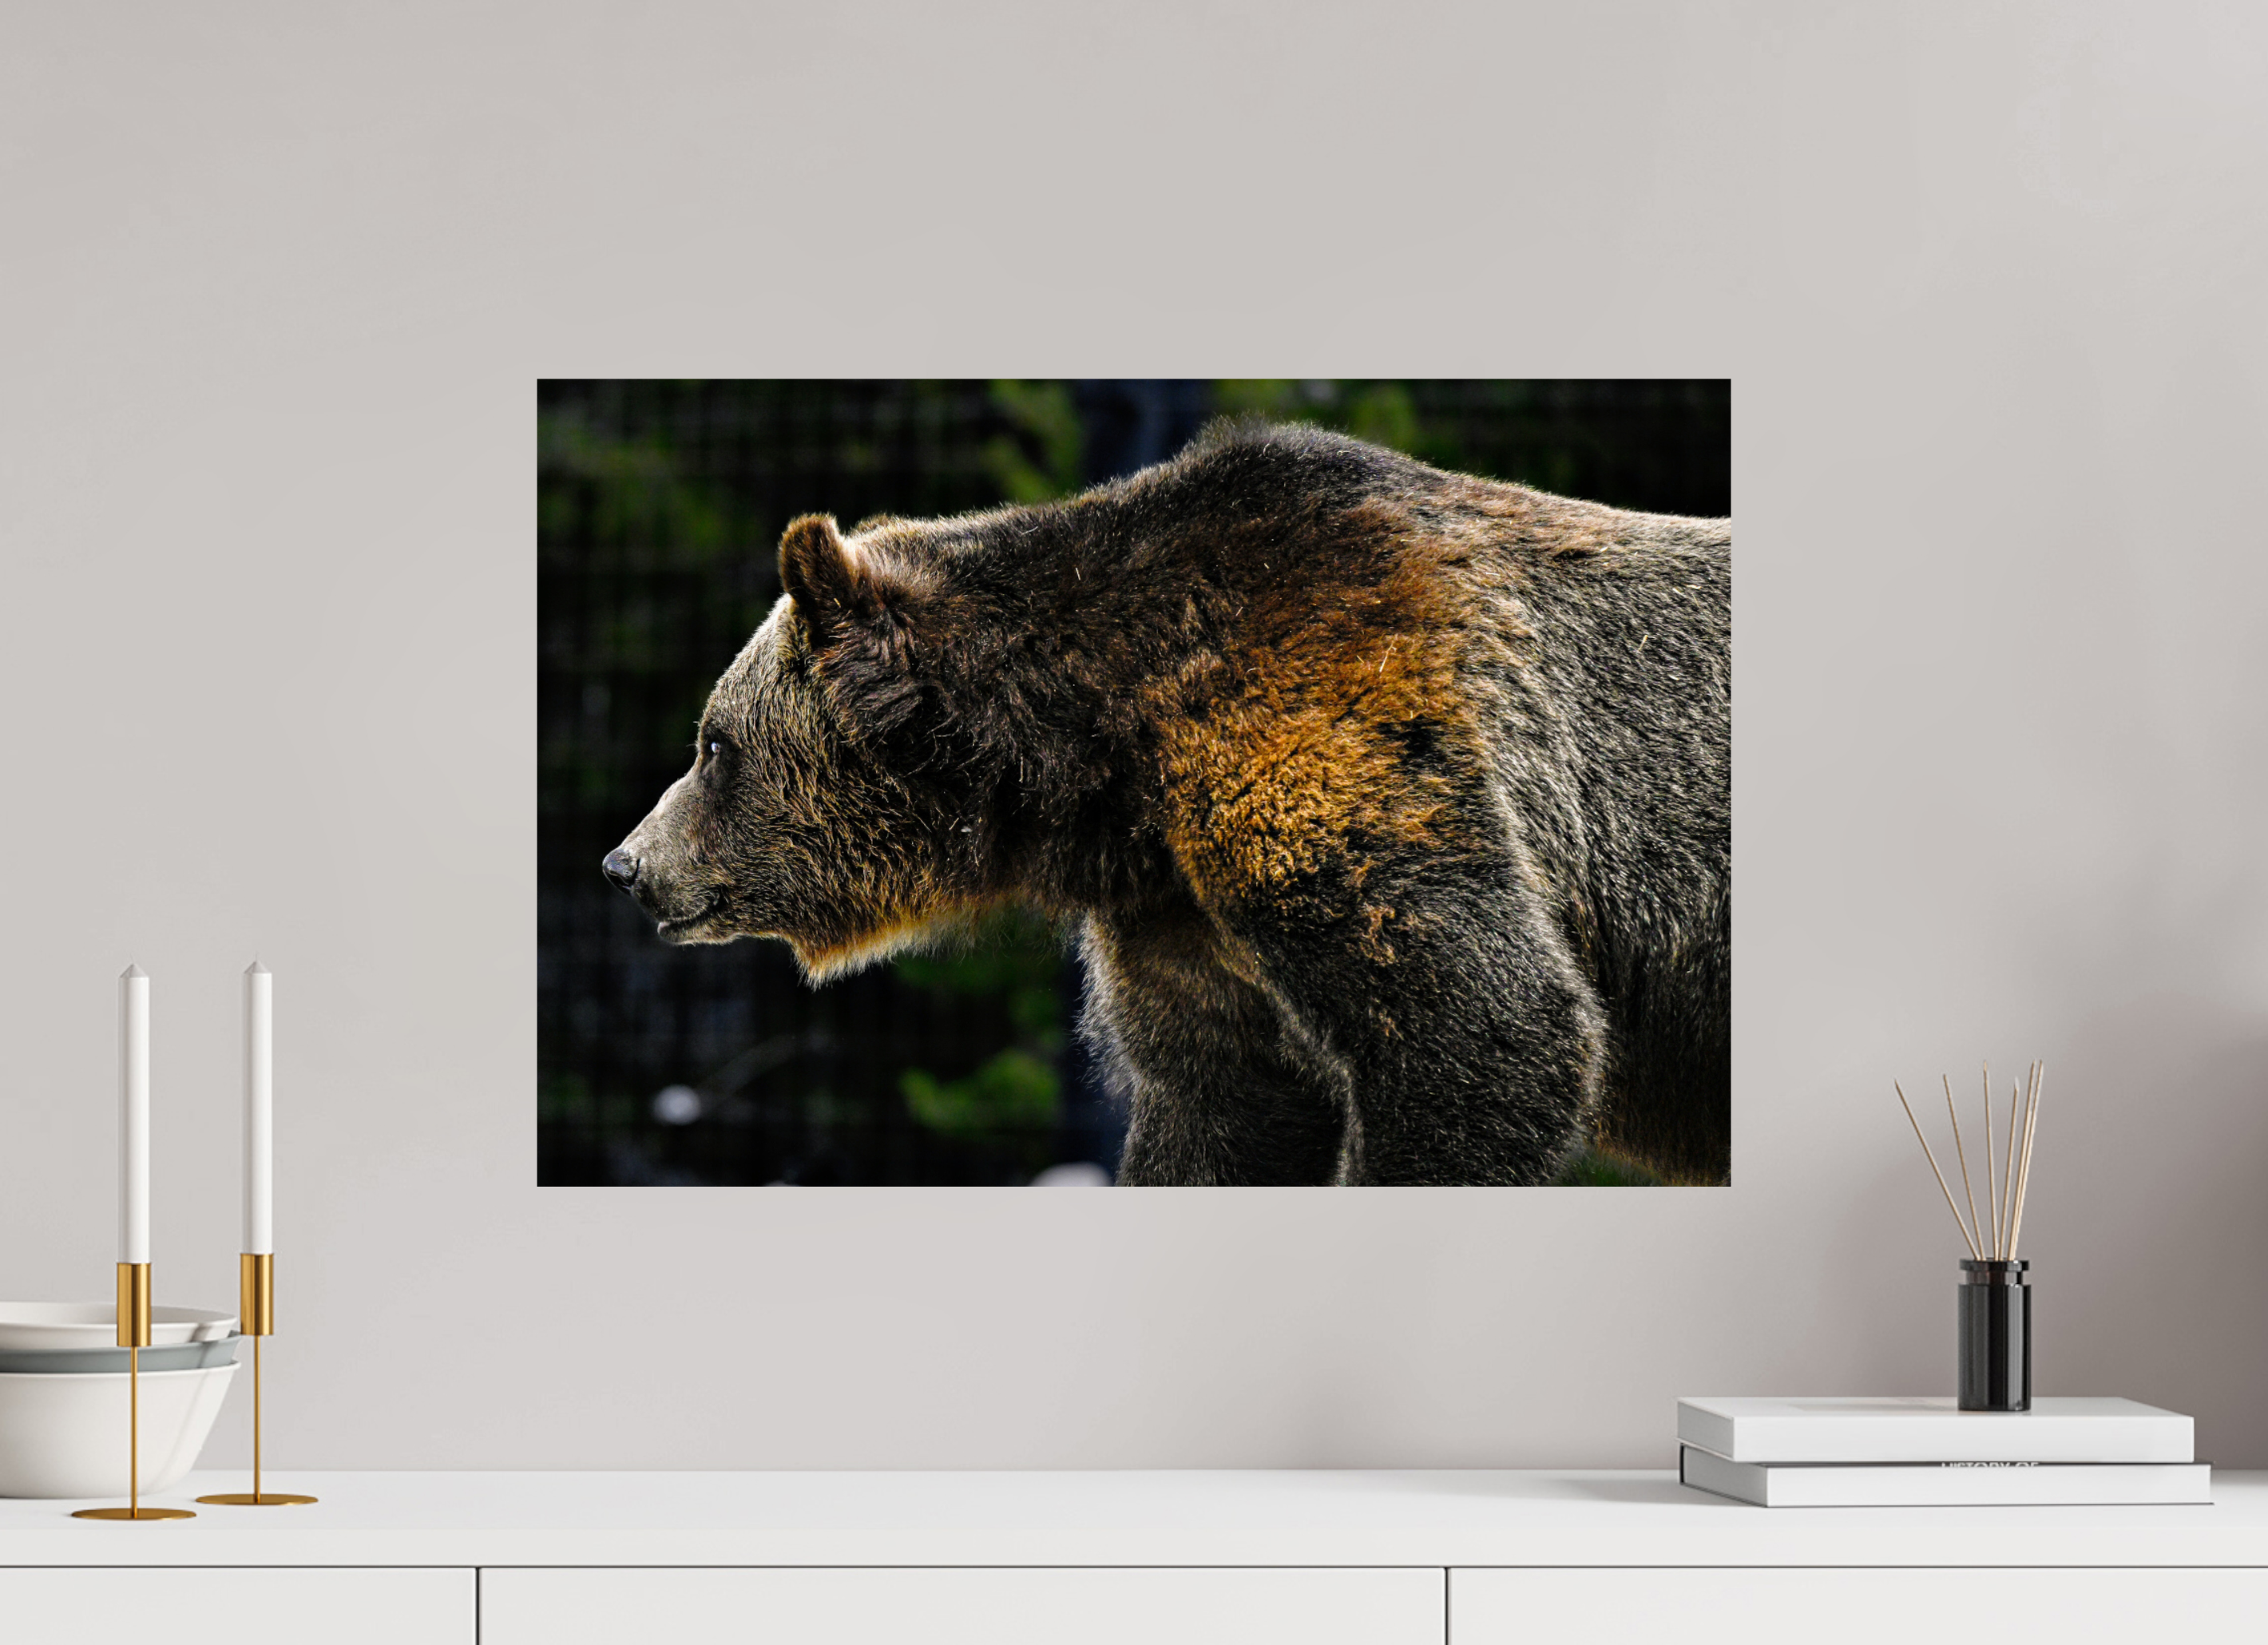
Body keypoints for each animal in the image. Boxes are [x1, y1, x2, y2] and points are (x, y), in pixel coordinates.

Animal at [603, 421, 1730, 1186]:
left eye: (713, 745)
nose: (626, 863)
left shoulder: (1328, 742)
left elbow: (1486, 1032)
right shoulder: (1180, 913)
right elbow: (1218, 1105)